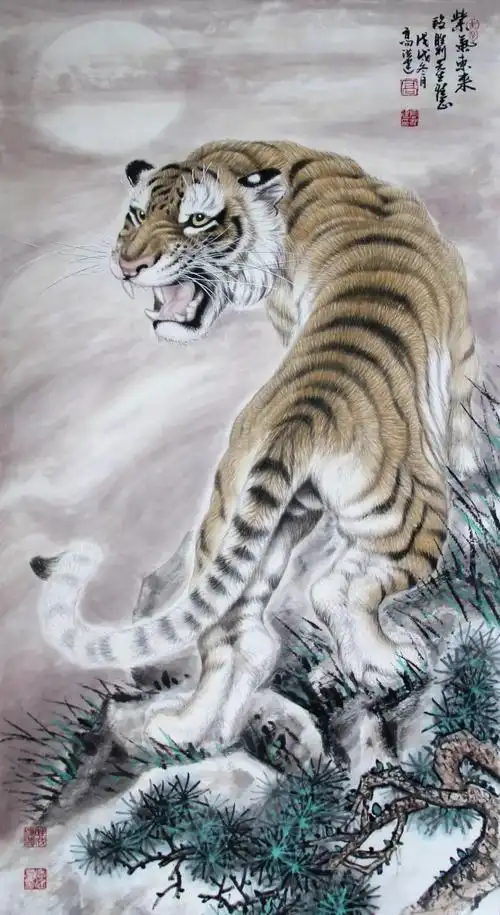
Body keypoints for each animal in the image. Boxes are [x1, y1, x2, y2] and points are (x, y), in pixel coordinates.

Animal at [31, 139, 481, 756]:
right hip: (409, 516)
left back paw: (191, 732)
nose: (128, 265)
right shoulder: (462, 354)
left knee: (239, 638)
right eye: (135, 215)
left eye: (197, 220)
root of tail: (301, 414)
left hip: (241, 524)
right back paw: (390, 663)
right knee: (338, 590)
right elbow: (467, 430)